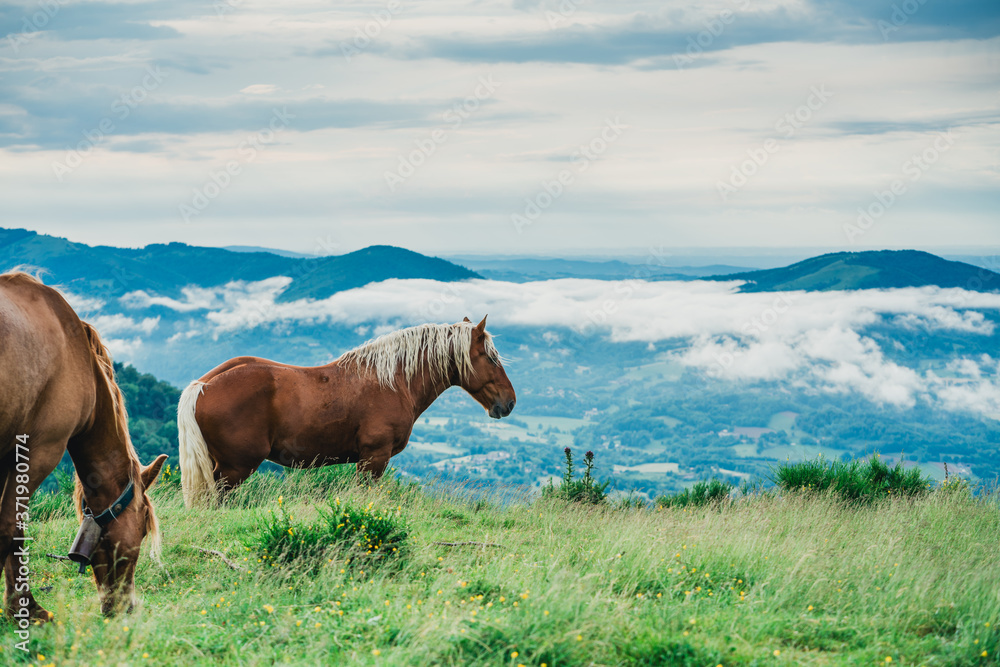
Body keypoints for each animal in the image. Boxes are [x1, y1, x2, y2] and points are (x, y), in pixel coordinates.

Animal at [0, 272, 167, 619]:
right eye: (143, 530)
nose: (125, 606)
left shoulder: (6, 455)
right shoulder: (39, 452)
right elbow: (12, 527)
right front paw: (27, 608)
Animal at [178, 316, 516, 507]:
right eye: (490, 357)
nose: (509, 402)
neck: (392, 380)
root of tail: (204, 385)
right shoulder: (373, 459)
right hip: (234, 469)